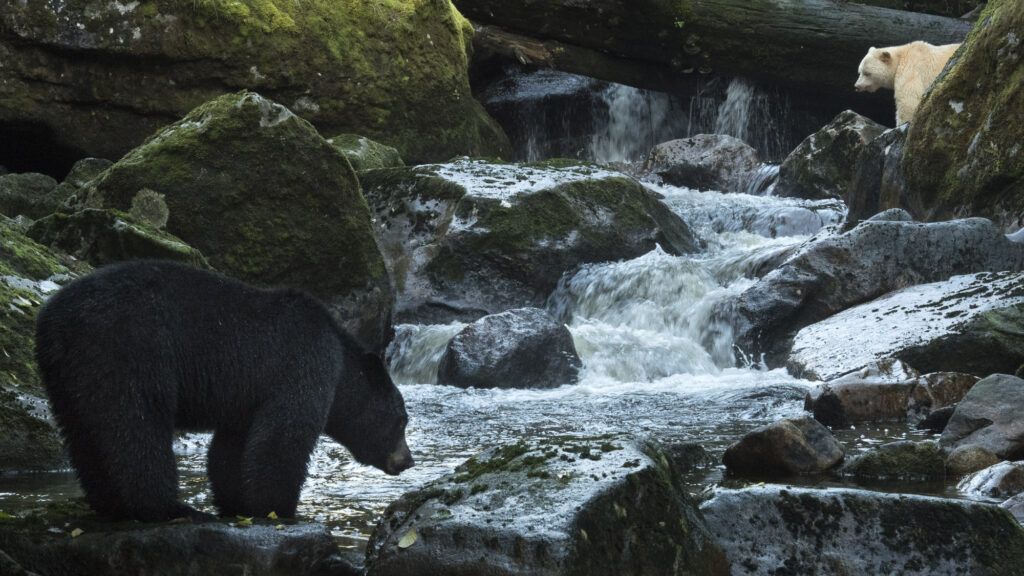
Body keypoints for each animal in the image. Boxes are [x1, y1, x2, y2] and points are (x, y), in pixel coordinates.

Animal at [34, 260, 413, 522]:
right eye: (402, 421)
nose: (408, 460)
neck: (340, 355)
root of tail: (55, 317)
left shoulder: (247, 397)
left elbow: (232, 448)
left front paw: (237, 503)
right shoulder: (304, 363)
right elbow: (283, 437)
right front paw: (281, 508)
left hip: (65, 374)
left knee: (83, 433)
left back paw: (109, 504)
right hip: (129, 352)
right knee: (136, 429)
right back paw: (169, 508)